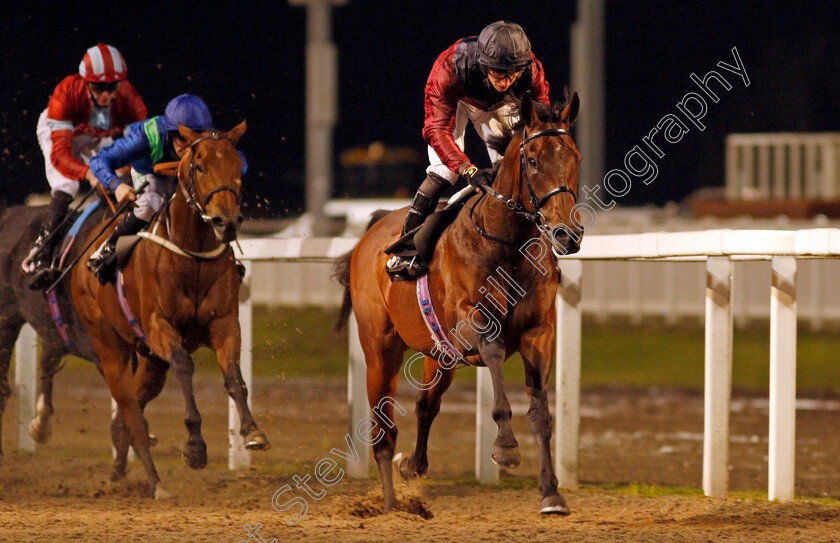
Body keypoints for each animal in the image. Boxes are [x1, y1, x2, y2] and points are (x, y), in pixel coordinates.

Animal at [67, 122, 268, 498]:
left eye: (239, 165)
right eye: (199, 165)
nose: (227, 221)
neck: (192, 255)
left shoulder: (224, 323)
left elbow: (234, 377)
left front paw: (252, 431)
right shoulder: (160, 326)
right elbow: (185, 367)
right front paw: (195, 447)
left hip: (149, 360)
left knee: (130, 413)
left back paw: (121, 467)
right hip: (109, 345)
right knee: (131, 411)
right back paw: (156, 482)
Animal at [334, 92, 584, 516]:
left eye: (576, 158)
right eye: (533, 161)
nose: (568, 233)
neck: (508, 244)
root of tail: (373, 230)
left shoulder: (539, 331)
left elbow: (541, 414)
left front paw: (551, 493)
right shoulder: (472, 323)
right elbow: (495, 357)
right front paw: (505, 446)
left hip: (440, 356)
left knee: (424, 405)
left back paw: (412, 467)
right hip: (380, 350)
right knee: (383, 429)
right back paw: (391, 504)